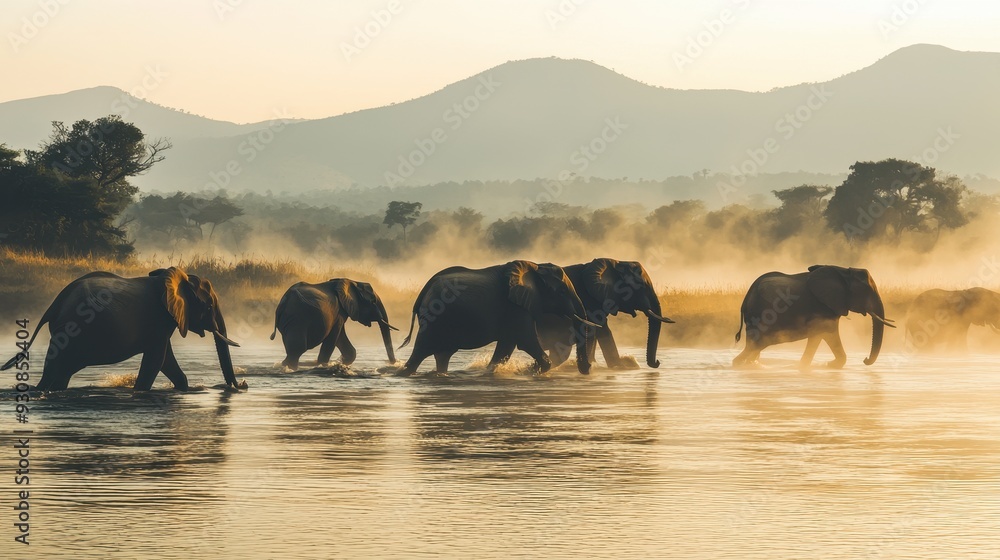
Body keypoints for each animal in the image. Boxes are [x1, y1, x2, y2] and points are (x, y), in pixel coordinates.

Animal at [0, 267, 241, 391]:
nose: (239, 387)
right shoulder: (159, 319)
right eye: (209, 306)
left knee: (61, 372)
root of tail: (53, 306)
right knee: (57, 369)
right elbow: (157, 359)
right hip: (72, 330)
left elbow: (166, 360)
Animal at [396, 260, 600, 376]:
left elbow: (506, 347)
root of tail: (424, 290)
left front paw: (492, 372)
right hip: (434, 318)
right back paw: (404, 373)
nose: (588, 368)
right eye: (562, 291)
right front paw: (528, 370)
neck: (536, 267)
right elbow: (525, 341)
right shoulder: (516, 308)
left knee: (442, 355)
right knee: (421, 351)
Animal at [536, 258, 674, 370]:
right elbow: (603, 330)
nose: (657, 363)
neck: (615, 263)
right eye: (641, 286)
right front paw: (621, 367)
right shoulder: (589, 301)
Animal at [732, 265, 895, 369]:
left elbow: (823, 336)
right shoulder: (822, 307)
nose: (865, 360)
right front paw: (825, 365)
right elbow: (826, 334)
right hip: (758, 314)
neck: (844, 272)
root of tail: (745, 299)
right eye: (867, 290)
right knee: (756, 343)